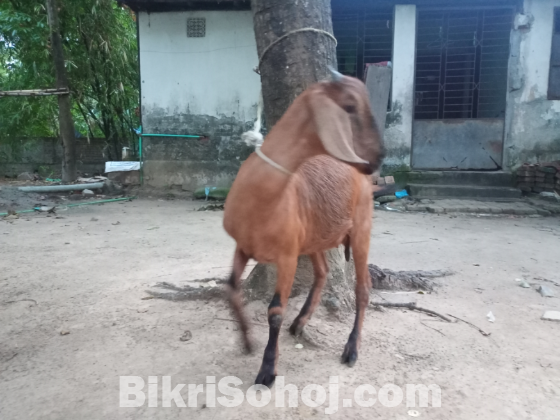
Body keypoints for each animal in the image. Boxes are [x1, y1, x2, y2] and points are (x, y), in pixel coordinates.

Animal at [223, 70, 384, 386]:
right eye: (349, 106)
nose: (380, 156)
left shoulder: (286, 256)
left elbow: (275, 311)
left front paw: (267, 371)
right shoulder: (243, 246)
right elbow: (232, 288)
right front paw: (247, 341)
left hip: (361, 229)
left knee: (363, 288)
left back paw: (351, 350)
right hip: (313, 237)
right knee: (322, 272)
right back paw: (299, 323)